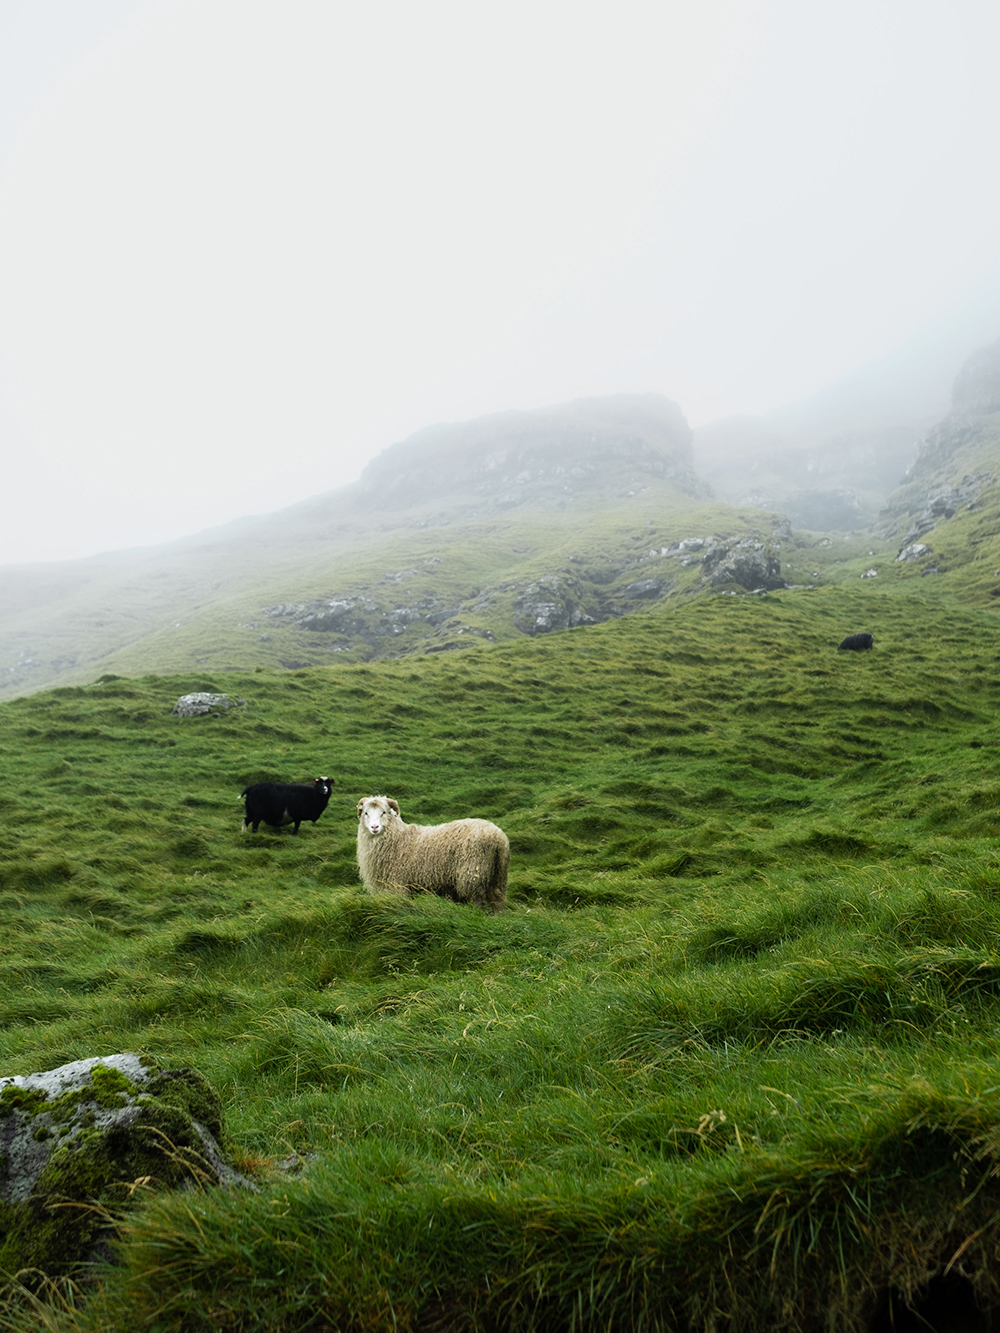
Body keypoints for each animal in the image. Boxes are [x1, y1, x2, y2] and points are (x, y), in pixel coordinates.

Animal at [357, 794, 509, 911]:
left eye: (383, 812)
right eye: (366, 813)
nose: (374, 827)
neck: (398, 838)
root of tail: (497, 836)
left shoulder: (398, 885)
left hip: (473, 874)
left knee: (479, 902)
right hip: (498, 875)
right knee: (497, 900)